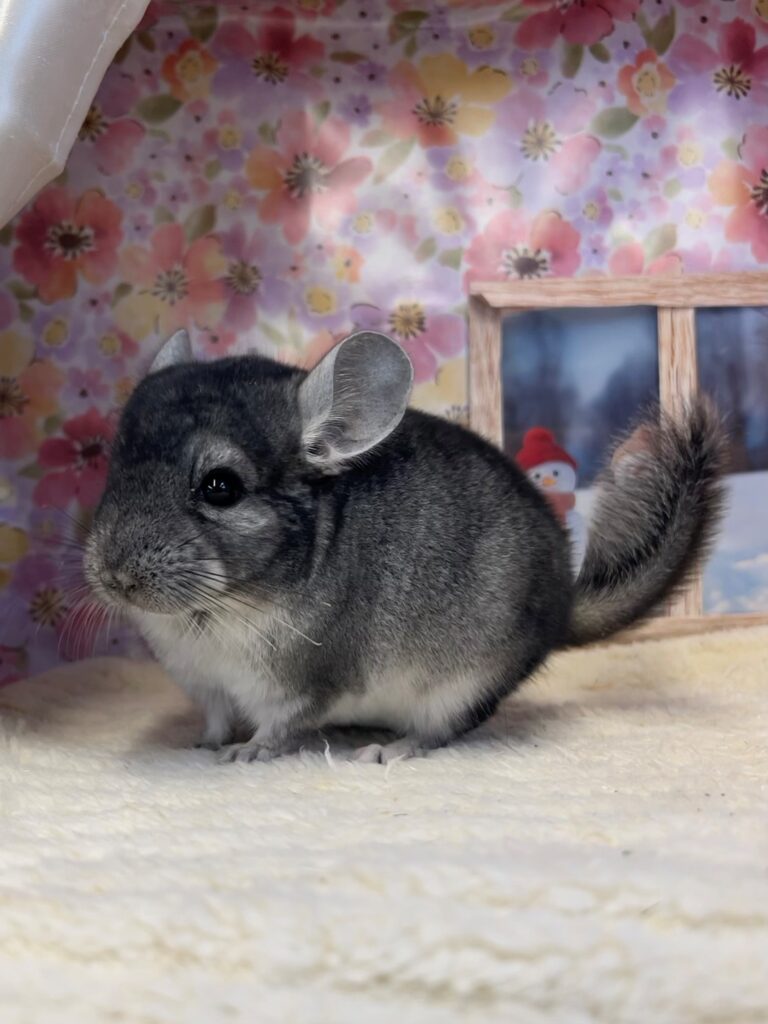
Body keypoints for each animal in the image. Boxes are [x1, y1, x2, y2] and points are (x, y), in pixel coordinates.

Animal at [84, 328, 725, 764]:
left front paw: (244, 754)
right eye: (114, 466)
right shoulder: (206, 685)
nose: (114, 576)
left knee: (443, 730)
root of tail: (564, 601)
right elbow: (215, 721)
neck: (213, 615)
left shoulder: (306, 681)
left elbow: (280, 728)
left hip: (465, 682)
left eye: (221, 486)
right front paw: (199, 746)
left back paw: (388, 749)